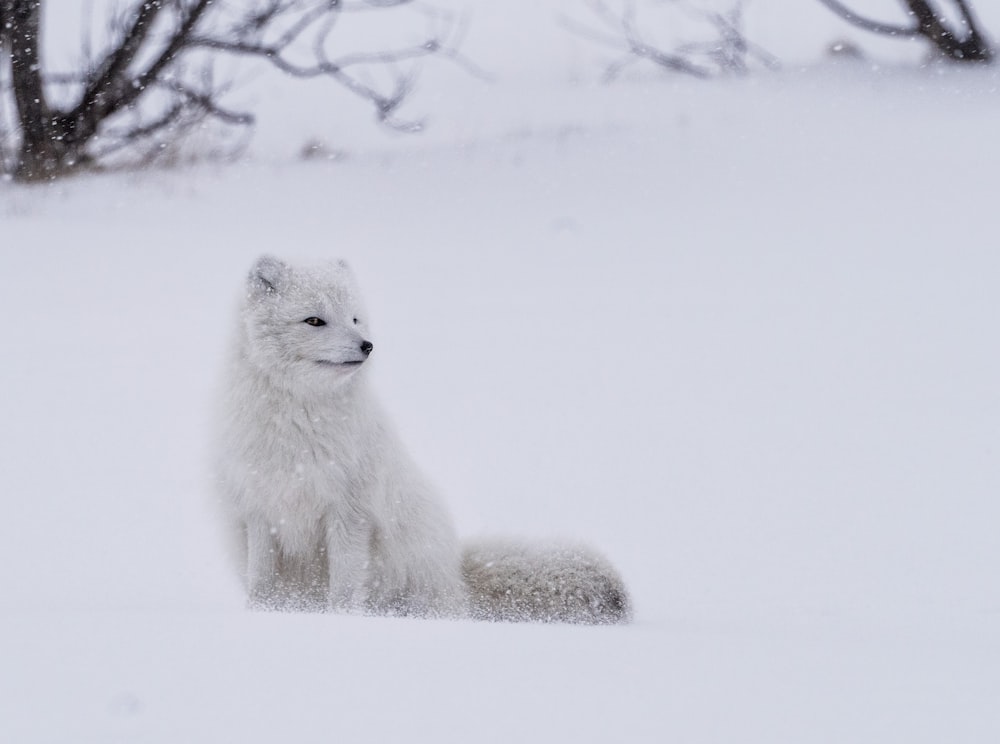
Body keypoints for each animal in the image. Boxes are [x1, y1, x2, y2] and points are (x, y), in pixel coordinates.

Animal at [216, 256, 628, 620]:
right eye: (314, 320)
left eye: (354, 318)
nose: (367, 345)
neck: (299, 422)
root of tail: (457, 577)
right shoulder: (260, 510)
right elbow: (262, 580)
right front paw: (263, 615)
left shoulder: (350, 511)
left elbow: (345, 585)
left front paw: (340, 620)